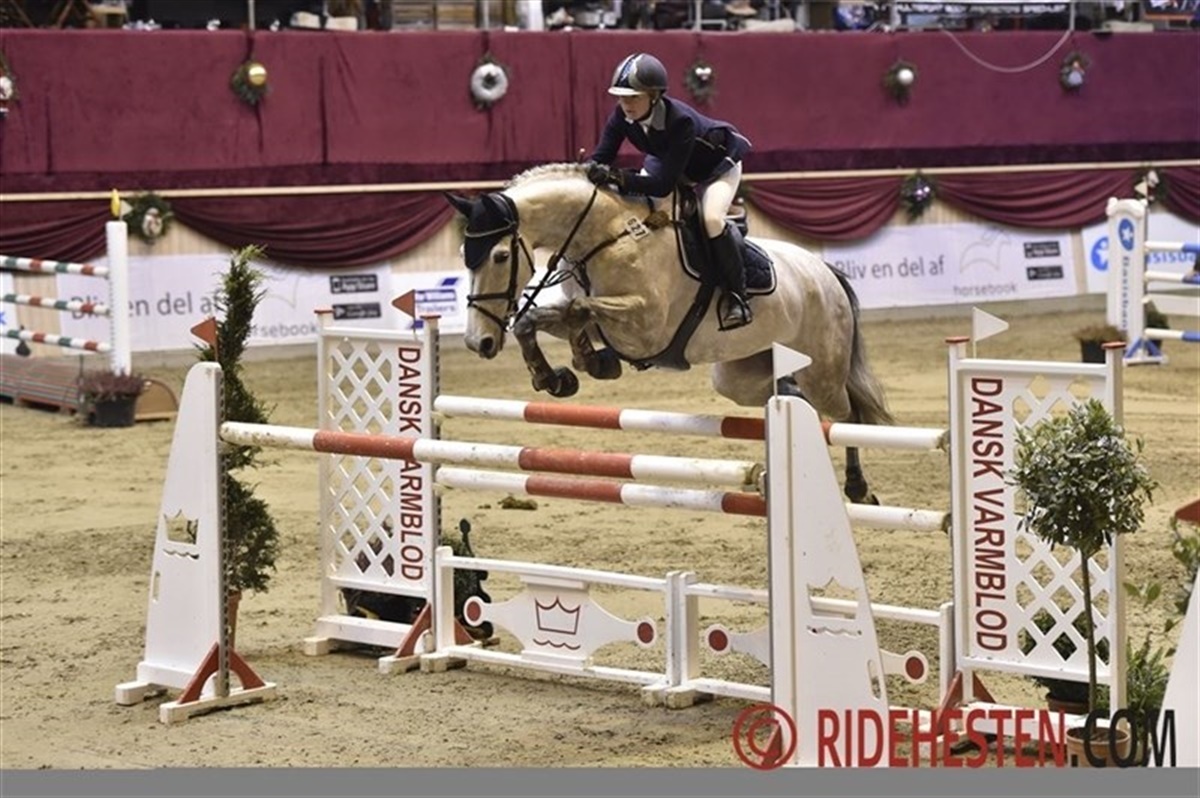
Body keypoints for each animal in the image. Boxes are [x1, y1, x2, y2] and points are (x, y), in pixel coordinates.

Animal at [445, 163, 893, 503]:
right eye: (464, 257)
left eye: (500, 256)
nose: (478, 342)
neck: (609, 235)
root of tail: (827, 272)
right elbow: (540, 319)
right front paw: (560, 375)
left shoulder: (646, 328)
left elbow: (578, 311)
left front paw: (584, 362)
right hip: (739, 376)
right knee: (789, 395)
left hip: (823, 372)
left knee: (847, 414)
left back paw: (858, 488)